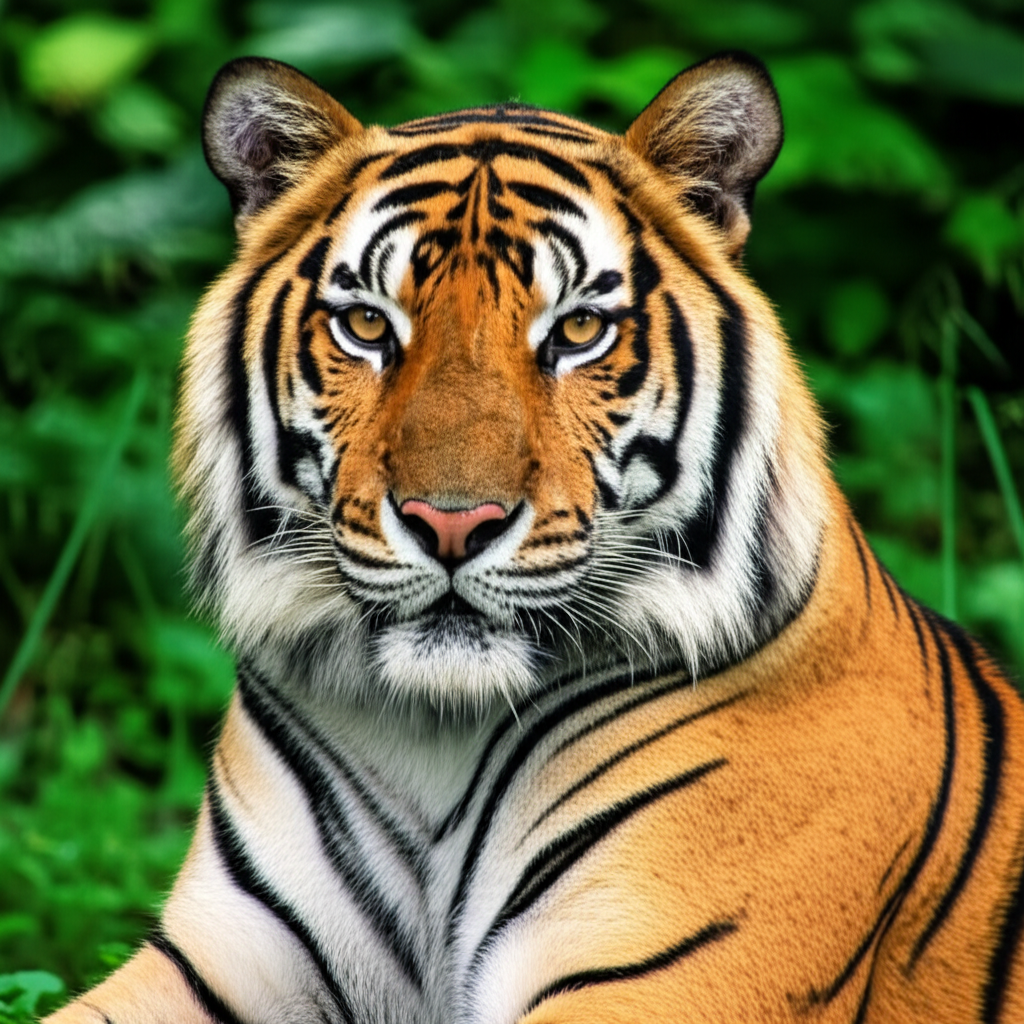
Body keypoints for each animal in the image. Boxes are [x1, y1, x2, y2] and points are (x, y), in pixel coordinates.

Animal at [47, 50, 1024, 1024]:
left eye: (579, 329)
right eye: (366, 324)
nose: (452, 522)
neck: (435, 734)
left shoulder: (658, 973)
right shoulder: (214, 959)